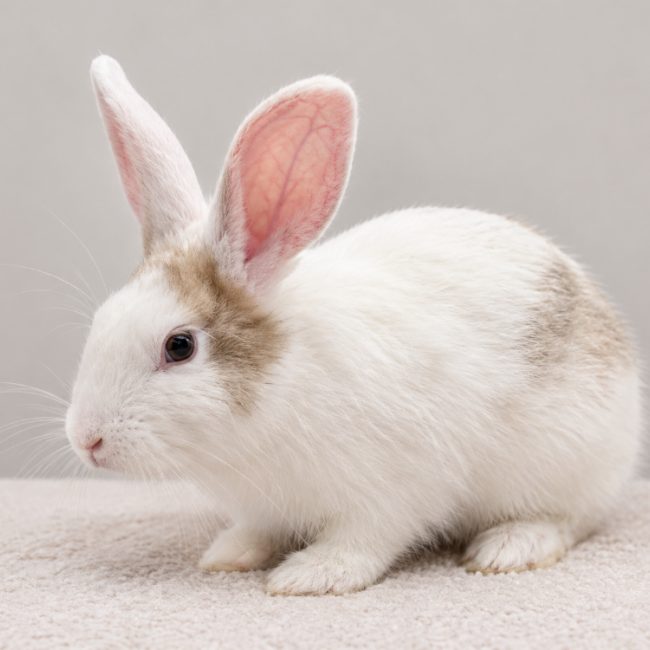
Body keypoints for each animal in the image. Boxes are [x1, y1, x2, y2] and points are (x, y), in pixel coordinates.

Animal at [65, 55, 642, 596]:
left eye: (180, 346)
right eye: (100, 320)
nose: (86, 439)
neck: (281, 385)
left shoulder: (397, 487)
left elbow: (366, 539)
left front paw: (312, 576)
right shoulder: (265, 508)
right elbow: (257, 530)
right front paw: (229, 554)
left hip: (569, 462)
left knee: (570, 518)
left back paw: (509, 547)